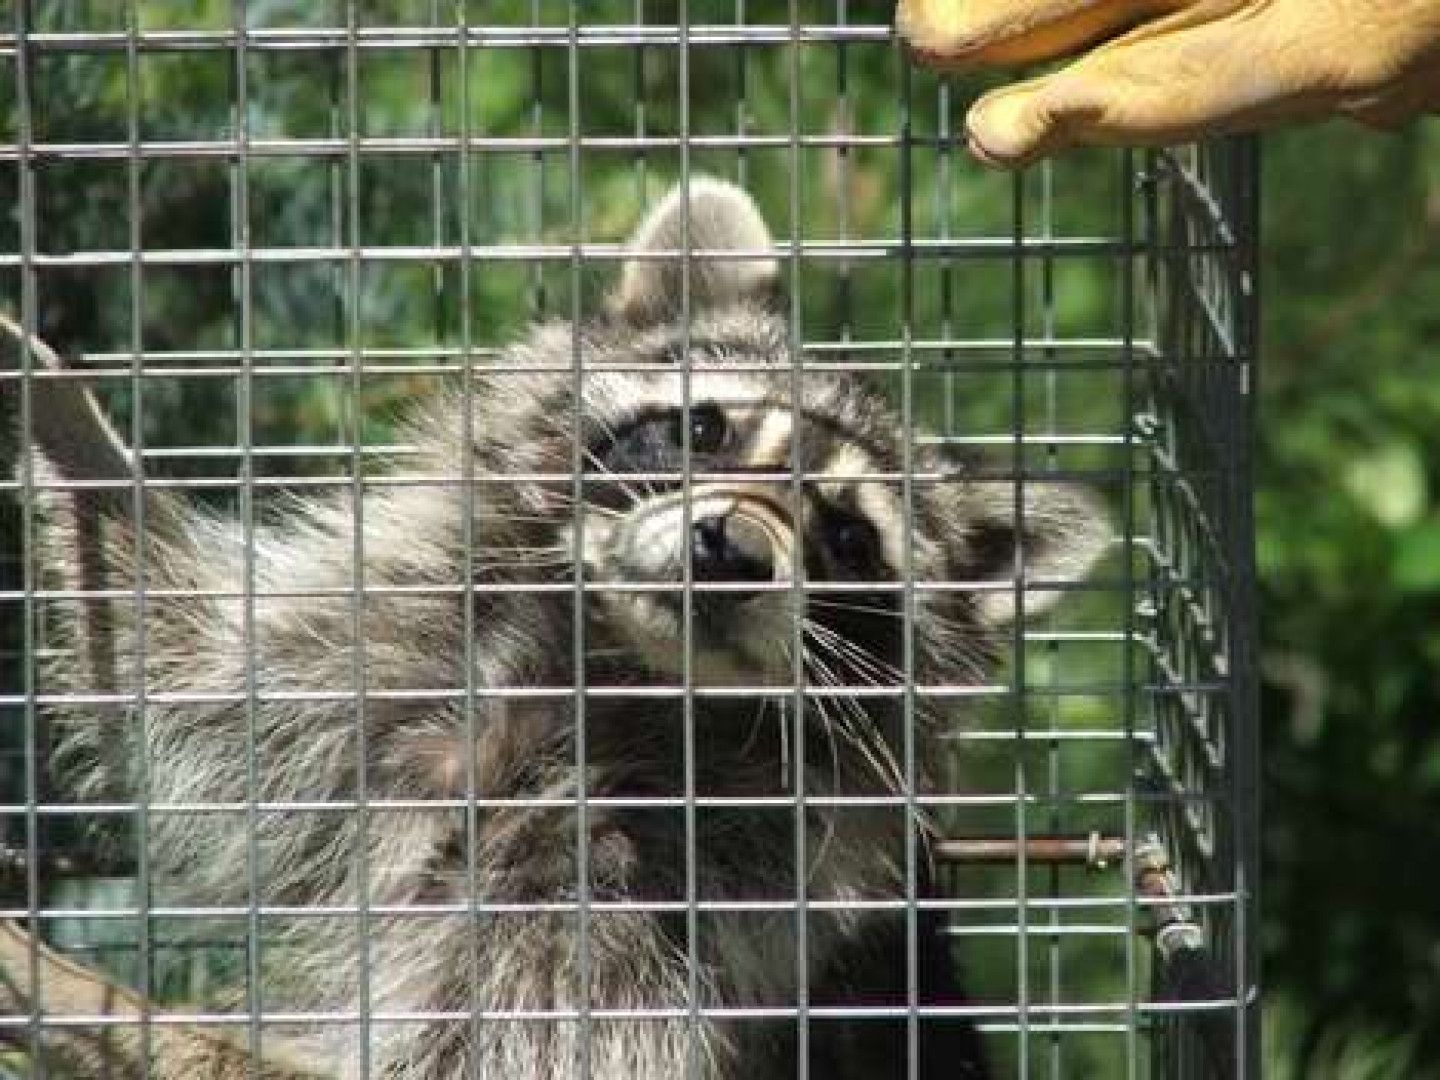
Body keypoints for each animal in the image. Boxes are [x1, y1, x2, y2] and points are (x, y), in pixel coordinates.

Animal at [7, 179, 1106, 1080]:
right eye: (703, 428)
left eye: (847, 536)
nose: (731, 551)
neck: (617, 668)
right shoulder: (393, 673)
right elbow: (189, 667)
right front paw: (70, 429)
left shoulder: (678, 901)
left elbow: (514, 1041)